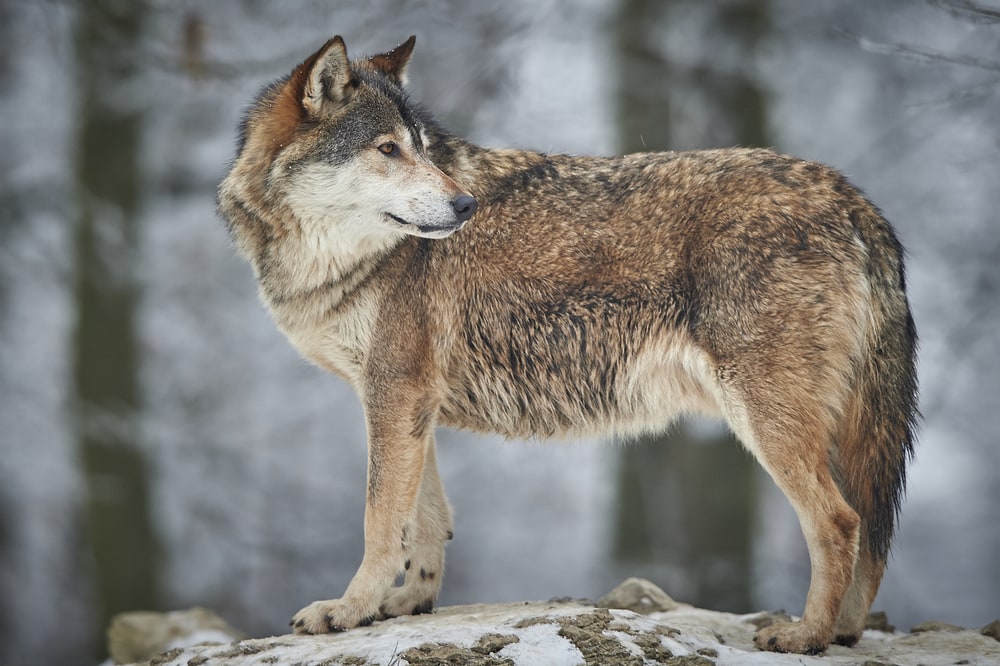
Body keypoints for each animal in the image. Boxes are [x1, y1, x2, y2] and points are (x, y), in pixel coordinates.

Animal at [217, 35, 918, 655]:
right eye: (387, 149)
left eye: (419, 149)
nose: (465, 205)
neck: (339, 262)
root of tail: (852, 197)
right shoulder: (409, 400)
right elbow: (426, 519)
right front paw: (407, 604)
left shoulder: (394, 391)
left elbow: (381, 521)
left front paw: (348, 610)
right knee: (869, 524)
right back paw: (846, 631)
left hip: (765, 417)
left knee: (840, 522)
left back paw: (806, 636)